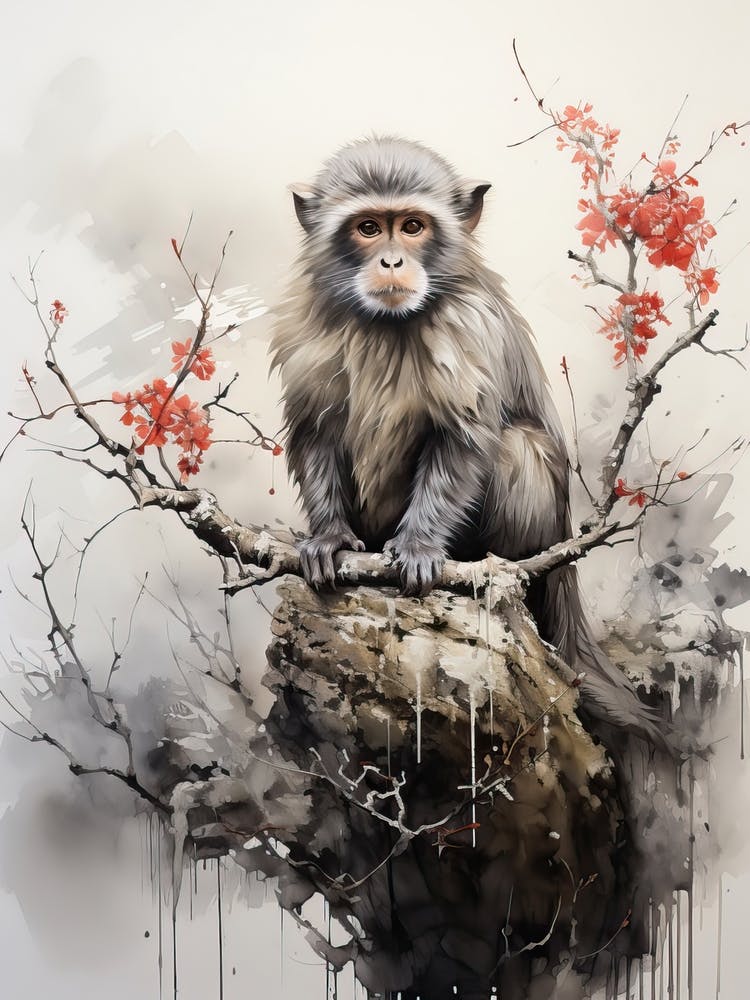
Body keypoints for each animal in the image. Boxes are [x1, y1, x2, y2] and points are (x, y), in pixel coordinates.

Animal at [270, 135, 673, 749]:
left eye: (412, 226)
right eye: (369, 228)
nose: (392, 260)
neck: (386, 324)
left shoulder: (469, 327)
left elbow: (463, 437)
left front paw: (418, 546)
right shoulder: (307, 328)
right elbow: (317, 431)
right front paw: (329, 537)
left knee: (515, 446)